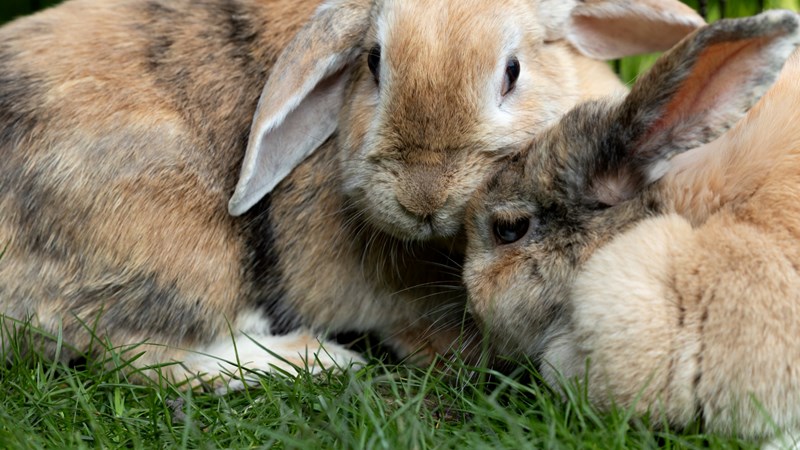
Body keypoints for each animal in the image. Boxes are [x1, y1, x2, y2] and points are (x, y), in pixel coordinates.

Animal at [0, 0, 703, 390]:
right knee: (132, 351)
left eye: (513, 71)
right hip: (174, 248)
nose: (424, 196)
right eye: (373, 63)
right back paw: (317, 359)